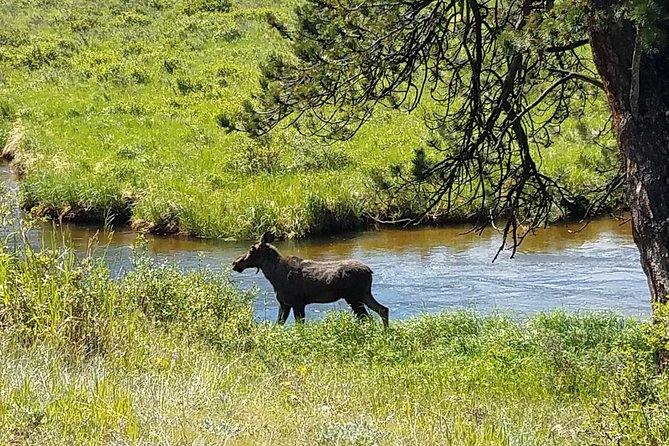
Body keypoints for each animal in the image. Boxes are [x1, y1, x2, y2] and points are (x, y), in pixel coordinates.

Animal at [232, 232, 388, 326]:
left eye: (252, 249)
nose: (235, 263)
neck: (274, 277)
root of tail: (369, 271)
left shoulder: (297, 302)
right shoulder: (285, 303)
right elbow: (278, 325)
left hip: (353, 297)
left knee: (368, 318)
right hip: (364, 294)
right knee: (383, 309)